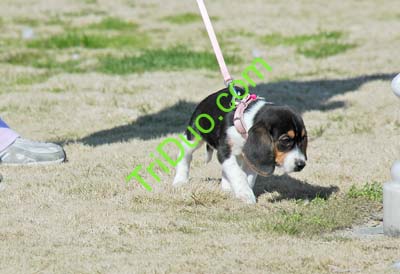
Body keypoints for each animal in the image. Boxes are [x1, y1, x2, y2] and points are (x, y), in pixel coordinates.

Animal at [171, 86, 306, 204]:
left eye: (302, 139)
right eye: (285, 140)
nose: (301, 164)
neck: (243, 122)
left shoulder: (250, 158)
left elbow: (248, 176)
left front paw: (243, 190)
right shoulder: (225, 151)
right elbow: (238, 173)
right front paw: (245, 194)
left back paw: (226, 187)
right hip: (193, 137)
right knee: (185, 155)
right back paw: (180, 180)